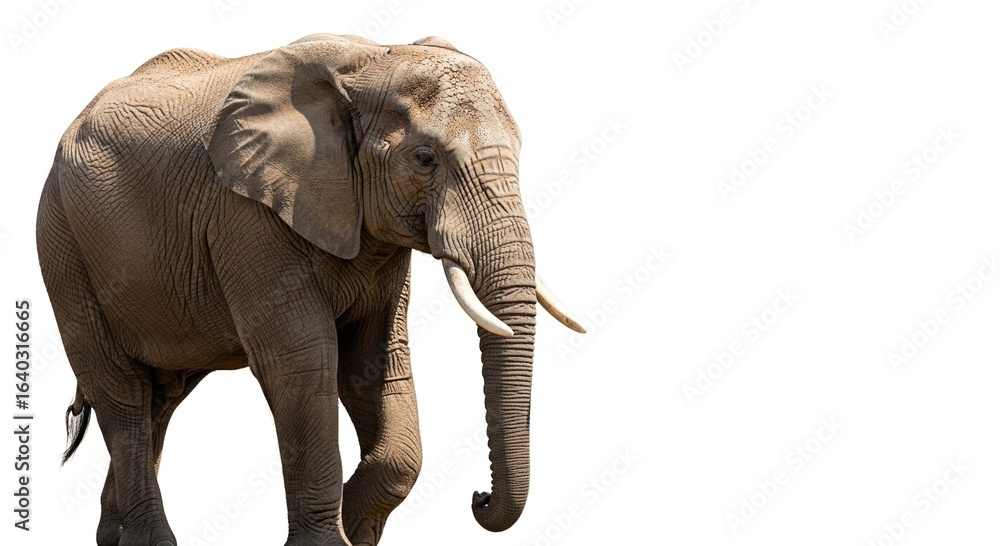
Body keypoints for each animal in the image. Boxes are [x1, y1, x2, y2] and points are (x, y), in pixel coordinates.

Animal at [35, 33, 586, 545]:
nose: (478, 496)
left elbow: (375, 362)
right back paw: (150, 540)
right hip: (63, 247)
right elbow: (303, 362)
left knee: (161, 398)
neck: (371, 63)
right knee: (123, 395)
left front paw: (356, 529)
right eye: (425, 159)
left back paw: (114, 537)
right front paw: (332, 538)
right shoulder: (246, 214)